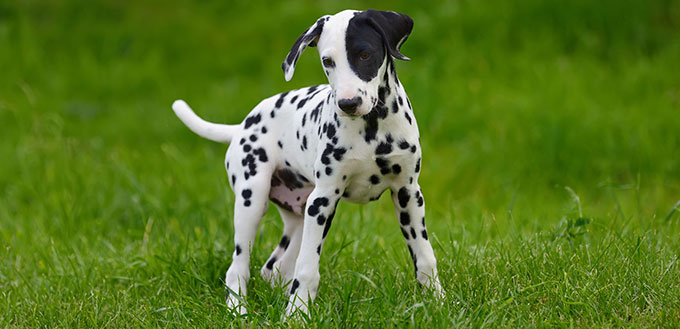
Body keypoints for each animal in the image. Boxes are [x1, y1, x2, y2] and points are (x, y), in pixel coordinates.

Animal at [173, 9, 444, 314]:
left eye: (365, 54)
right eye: (328, 61)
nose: (348, 103)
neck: (372, 128)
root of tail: (241, 126)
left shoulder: (408, 193)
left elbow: (425, 256)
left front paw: (437, 301)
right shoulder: (323, 199)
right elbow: (307, 268)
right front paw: (297, 314)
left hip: (301, 217)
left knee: (276, 267)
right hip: (253, 201)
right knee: (239, 266)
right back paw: (238, 309)